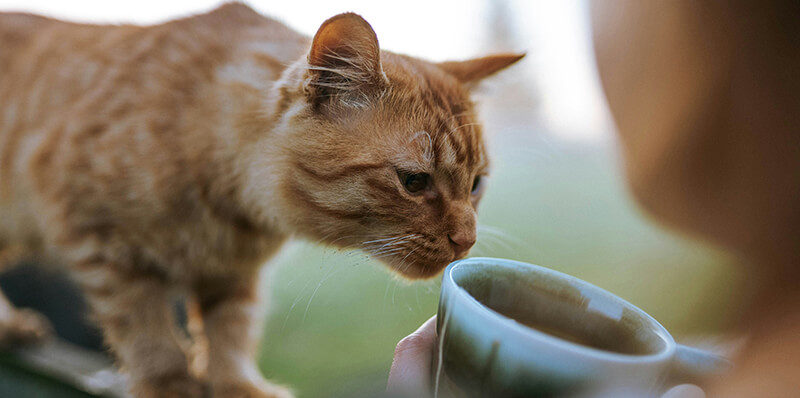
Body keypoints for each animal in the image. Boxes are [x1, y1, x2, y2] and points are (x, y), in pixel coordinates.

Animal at [0, 3, 520, 398]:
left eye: (476, 184)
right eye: (414, 181)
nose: (467, 240)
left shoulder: (234, 273)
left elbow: (230, 333)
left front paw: (236, 385)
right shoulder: (97, 239)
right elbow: (144, 327)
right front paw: (170, 383)